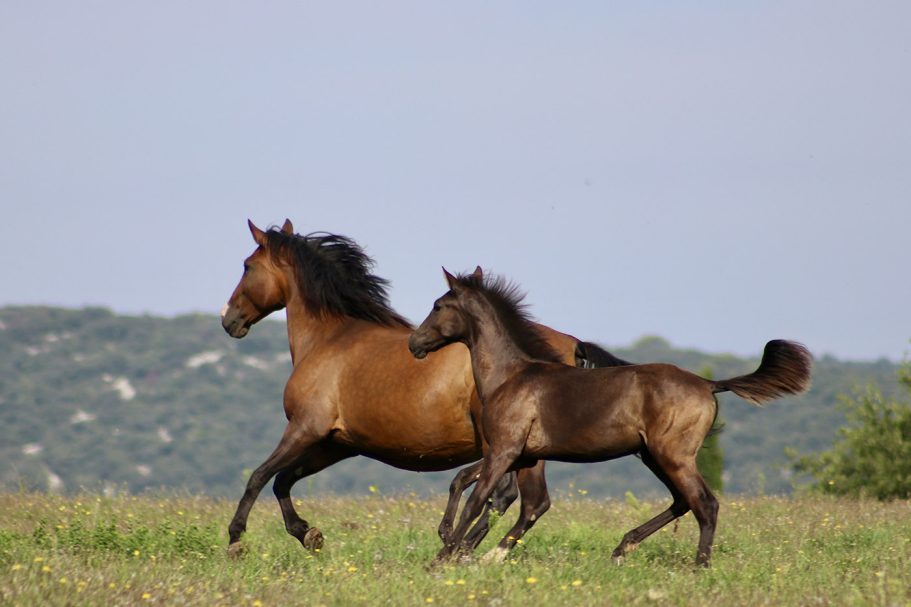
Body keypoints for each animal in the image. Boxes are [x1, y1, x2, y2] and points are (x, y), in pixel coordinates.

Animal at [219, 219, 631, 555]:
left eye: (247, 266)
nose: (228, 320)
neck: (330, 338)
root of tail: (571, 343)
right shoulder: (337, 444)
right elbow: (282, 481)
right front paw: (309, 534)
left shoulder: (305, 428)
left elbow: (259, 476)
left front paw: (237, 540)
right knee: (511, 499)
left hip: (509, 447)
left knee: (516, 498)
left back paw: (461, 547)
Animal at [408, 268, 812, 567]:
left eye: (439, 305)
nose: (415, 343)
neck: (511, 376)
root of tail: (709, 384)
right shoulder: (521, 455)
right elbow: (477, 486)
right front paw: (461, 546)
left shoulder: (504, 450)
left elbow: (479, 499)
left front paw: (442, 558)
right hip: (652, 455)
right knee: (682, 501)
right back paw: (621, 548)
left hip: (673, 455)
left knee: (704, 503)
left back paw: (699, 567)